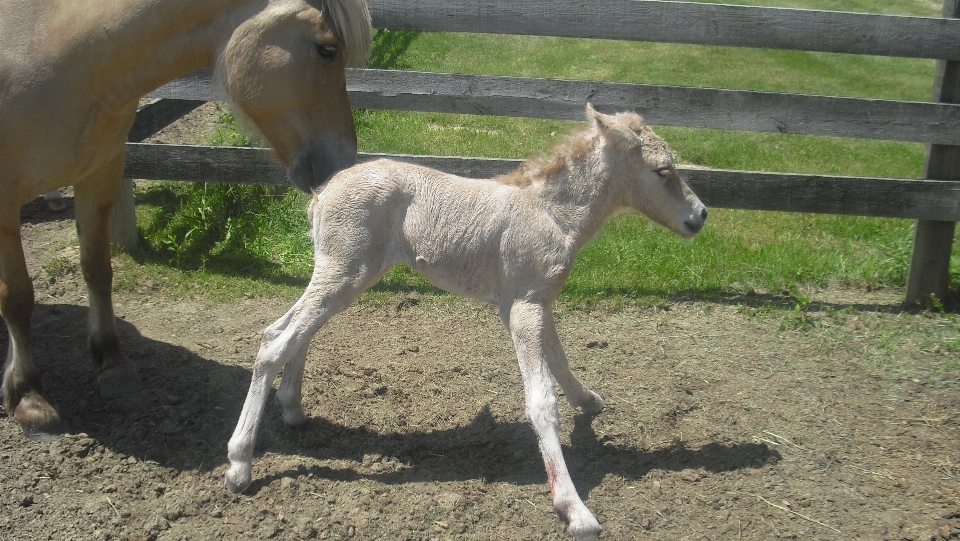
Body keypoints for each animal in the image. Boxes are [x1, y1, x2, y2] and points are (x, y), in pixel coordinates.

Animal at [0, 0, 374, 438]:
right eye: (328, 49)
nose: (343, 165)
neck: (45, 43)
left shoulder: (100, 172)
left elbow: (97, 269)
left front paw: (112, 363)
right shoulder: (6, 199)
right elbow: (17, 296)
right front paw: (28, 396)